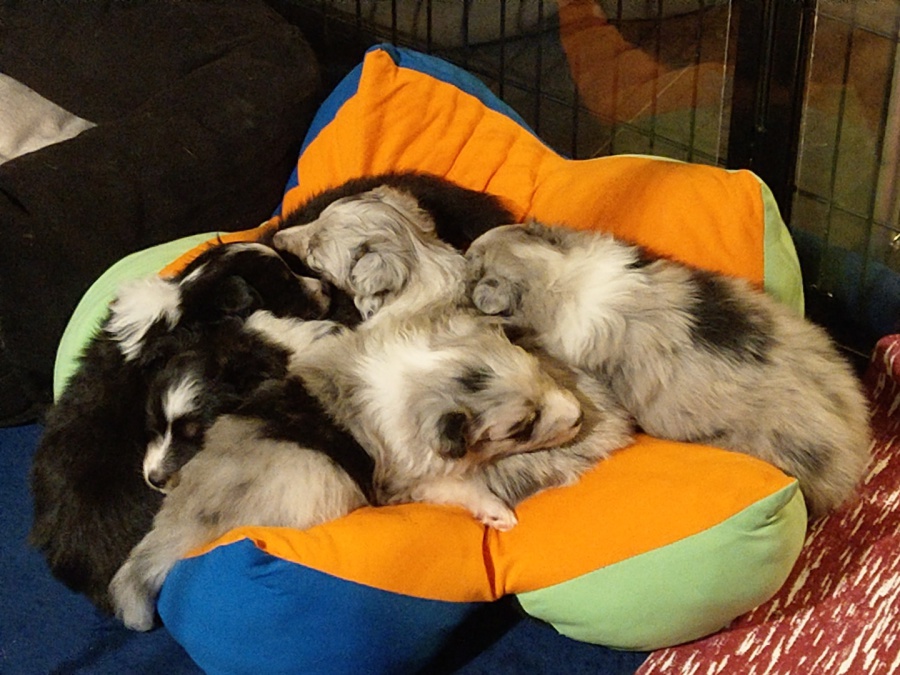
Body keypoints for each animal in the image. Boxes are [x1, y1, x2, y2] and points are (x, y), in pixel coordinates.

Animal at [110, 309, 633, 631]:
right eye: (522, 427)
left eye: (540, 374)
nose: (579, 416)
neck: (417, 382)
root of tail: (184, 517)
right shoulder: (419, 478)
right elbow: (463, 487)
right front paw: (497, 513)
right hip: (322, 478)